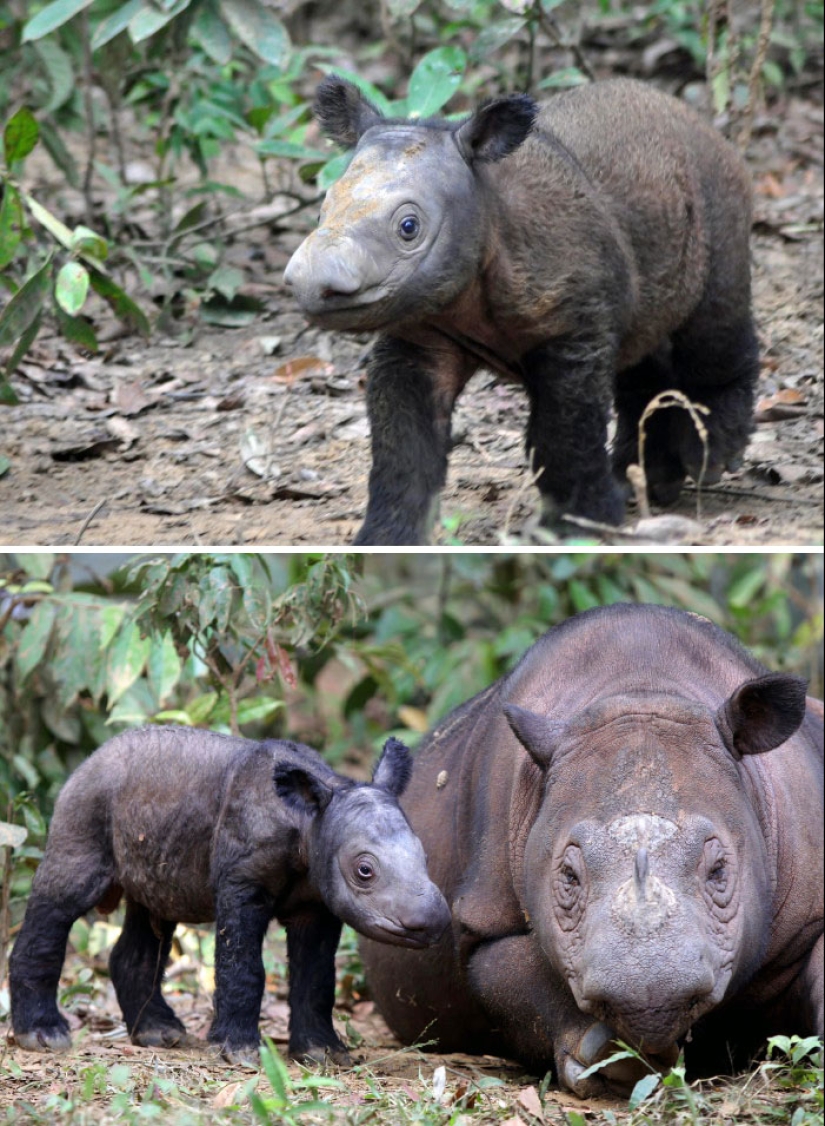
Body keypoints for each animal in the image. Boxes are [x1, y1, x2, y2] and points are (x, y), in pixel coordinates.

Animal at [11, 729, 450, 1062]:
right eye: (364, 871)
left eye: (426, 856)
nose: (432, 921)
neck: (310, 821)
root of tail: (91, 758)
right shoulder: (242, 882)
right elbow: (243, 965)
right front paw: (237, 1052)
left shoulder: (318, 901)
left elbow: (317, 976)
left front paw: (323, 1054)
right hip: (86, 803)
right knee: (64, 898)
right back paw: (43, 1036)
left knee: (152, 913)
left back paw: (158, 1034)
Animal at [284, 77, 760, 542]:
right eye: (321, 211)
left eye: (408, 227)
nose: (311, 283)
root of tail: (697, 120)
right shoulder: (419, 331)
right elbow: (403, 444)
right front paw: (386, 539)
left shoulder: (572, 328)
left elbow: (564, 433)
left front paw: (579, 529)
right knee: (641, 347)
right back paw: (645, 481)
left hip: (717, 185)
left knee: (710, 326)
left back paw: (711, 459)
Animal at [362, 603, 823, 1094]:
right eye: (568, 877)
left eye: (719, 871)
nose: (650, 1001)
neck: (643, 686)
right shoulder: (483, 920)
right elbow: (511, 974)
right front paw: (614, 1058)